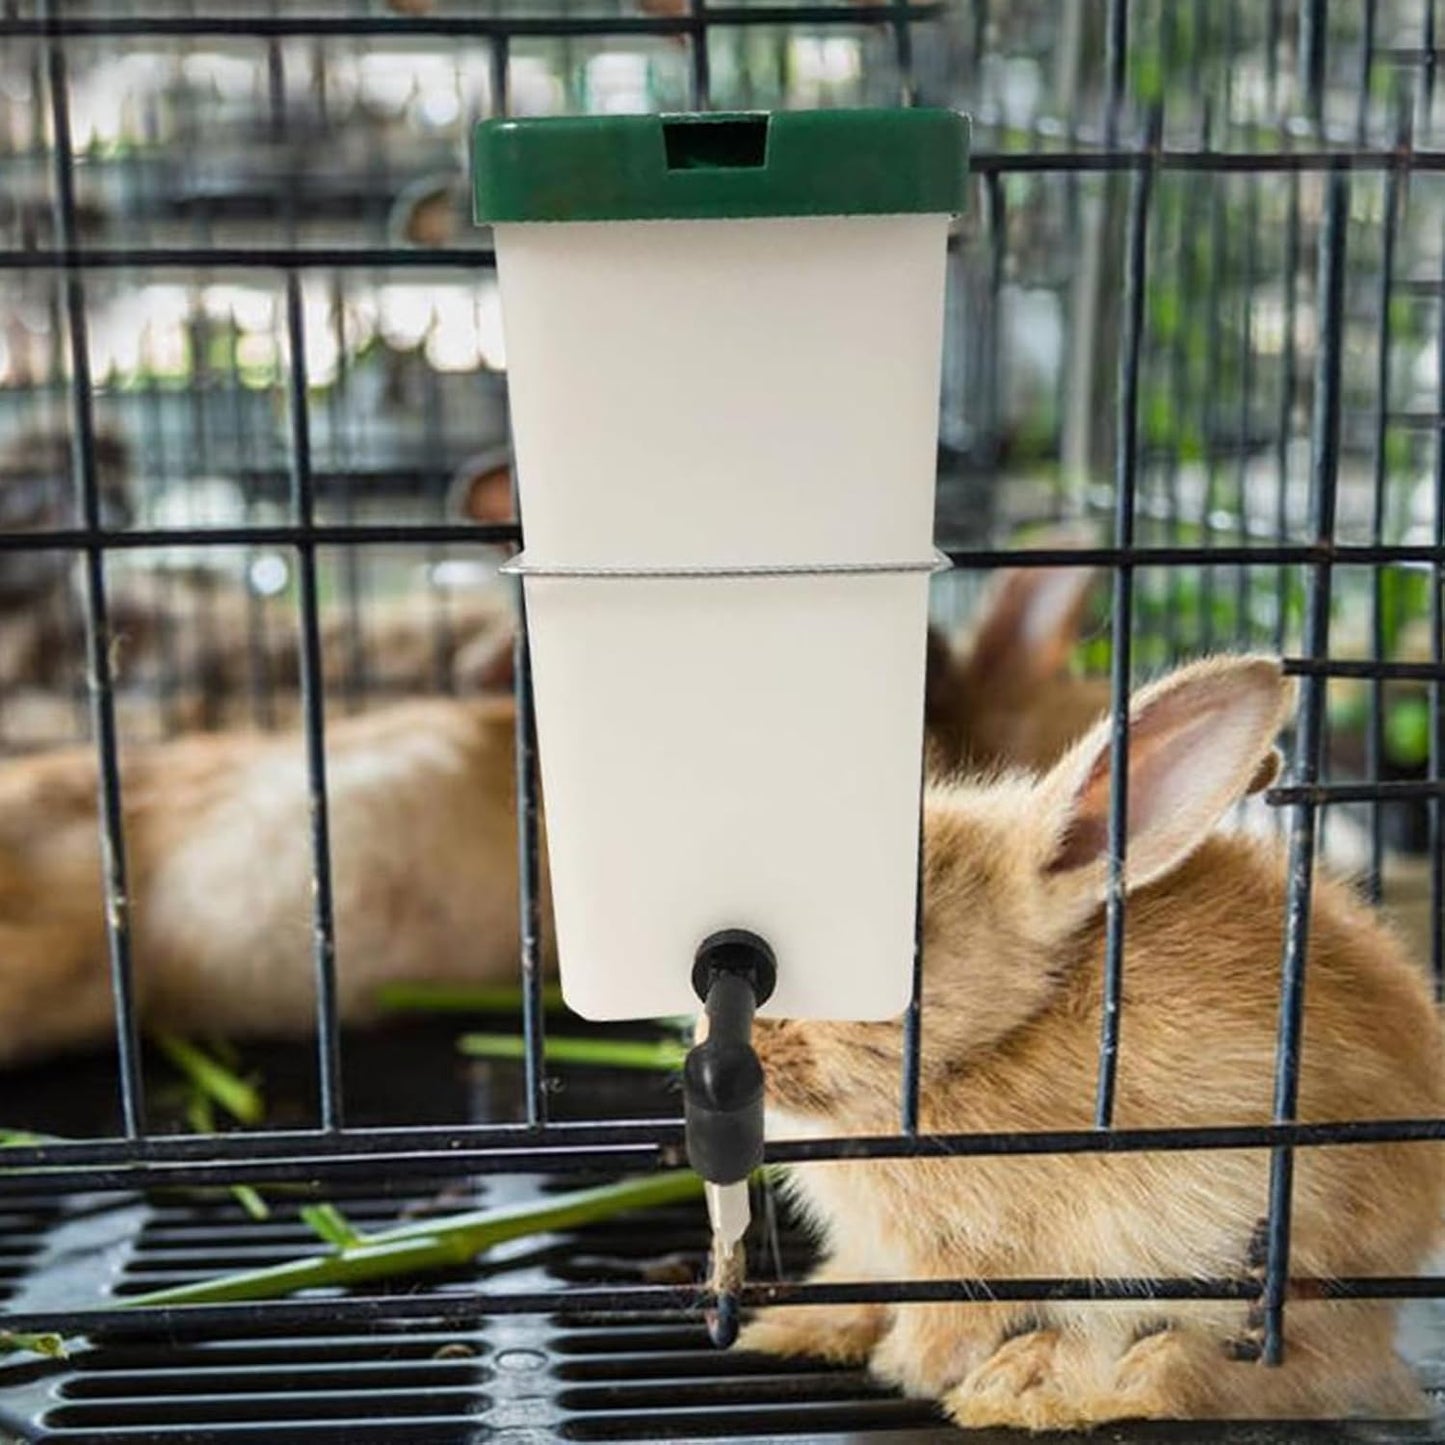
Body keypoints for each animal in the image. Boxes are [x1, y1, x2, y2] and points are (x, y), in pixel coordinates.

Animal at [740, 655, 1445, 1428]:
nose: (744, 1040)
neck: (995, 1037)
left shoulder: (980, 1253)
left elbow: (951, 1315)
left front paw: (908, 1367)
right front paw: (796, 1327)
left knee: (1283, 1369)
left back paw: (1037, 1387)